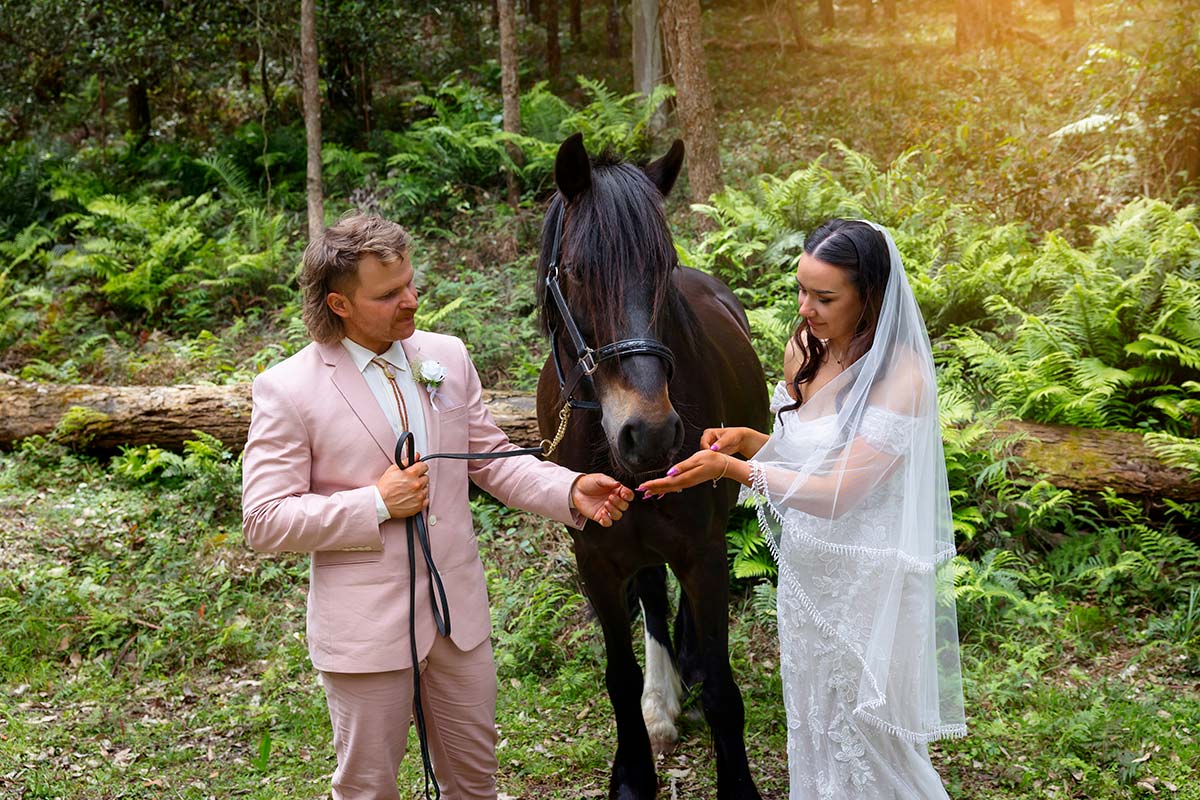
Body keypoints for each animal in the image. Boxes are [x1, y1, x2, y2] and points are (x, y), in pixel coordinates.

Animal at [535, 133, 768, 800]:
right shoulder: (594, 556)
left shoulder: (703, 551)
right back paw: (661, 702)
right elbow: (618, 675)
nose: (652, 433)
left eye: (661, 269)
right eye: (578, 270)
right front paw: (633, 774)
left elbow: (723, 689)